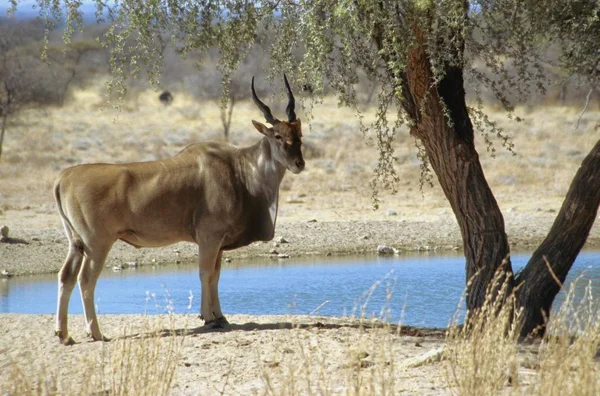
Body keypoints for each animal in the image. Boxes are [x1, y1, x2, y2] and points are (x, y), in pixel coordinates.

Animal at [52, 74, 304, 344]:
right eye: (277, 136)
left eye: (299, 133)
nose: (299, 163)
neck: (239, 169)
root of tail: (64, 177)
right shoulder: (209, 237)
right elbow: (205, 273)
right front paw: (209, 318)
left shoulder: (218, 243)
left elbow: (216, 275)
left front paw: (221, 317)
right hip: (97, 243)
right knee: (86, 279)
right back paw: (96, 332)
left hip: (76, 244)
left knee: (66, 276)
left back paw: (64, 334)